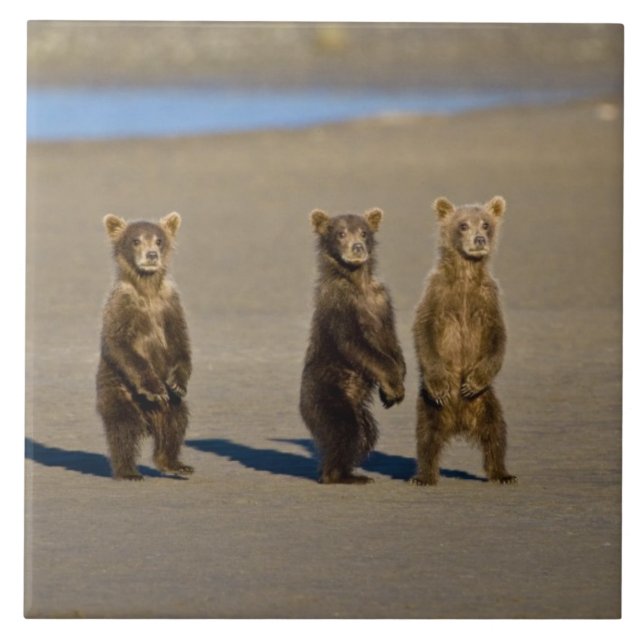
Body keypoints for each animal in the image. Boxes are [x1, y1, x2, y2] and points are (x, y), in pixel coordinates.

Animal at [96, 212, 193, 480]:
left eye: (159, 240)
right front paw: (155, 388)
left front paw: (177, 382)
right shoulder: (122, 306)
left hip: (171, 408)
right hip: (119, 391)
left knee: (175, 422)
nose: (151, 255)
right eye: (136, 240)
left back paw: (175, 463)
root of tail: (149, 417)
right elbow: (120, 344)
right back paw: (128, 470)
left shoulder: (170, 304)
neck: (147, 289)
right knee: (123, 429)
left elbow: (180, 342)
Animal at [299, 208, 406, 484]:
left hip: (358, 408)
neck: (358, 282)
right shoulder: (341, 306)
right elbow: (357, 346)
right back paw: (338, 475)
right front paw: (393, 385)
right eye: (340, 233)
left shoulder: (381, 301)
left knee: (366, 433)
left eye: (364, 232)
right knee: (343, 431)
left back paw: (351, 470)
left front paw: (394, 389)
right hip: (327, 394)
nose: (357, 247)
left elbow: (391, 342)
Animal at [410, 196, 516, 486]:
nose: (479, 239)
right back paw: (424, 476)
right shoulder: (438, 294)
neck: (466, 275)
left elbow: (498, 338)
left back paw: (502, 473)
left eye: (486, 224)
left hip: (487, 403)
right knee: (426, 438)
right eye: (463, 225)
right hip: (430, 408)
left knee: (495, 434)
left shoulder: (488, 299)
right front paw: (440, 383)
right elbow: (423, 330)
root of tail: (459, 423)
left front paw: (471, 382)